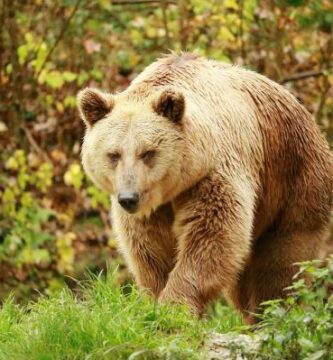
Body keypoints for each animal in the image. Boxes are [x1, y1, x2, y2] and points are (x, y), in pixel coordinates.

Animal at [77, 52, 332, 322]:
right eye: (113, 154)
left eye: (148, 152)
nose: (129, 197)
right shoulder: (152, 210)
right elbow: (150, 249)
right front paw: (156, 301)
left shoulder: (212, 174)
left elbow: (211, 236)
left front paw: (175, 306)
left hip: (294, 180)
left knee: (282, 262)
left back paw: (270, 315)